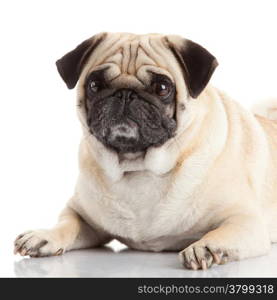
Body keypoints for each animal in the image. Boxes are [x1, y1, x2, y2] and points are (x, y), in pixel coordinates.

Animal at [13, 32, 276, 270]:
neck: (139, 168)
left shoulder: (245, 220)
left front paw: (205, 246)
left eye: (162, 87)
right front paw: (44, 235)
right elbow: (67, 223)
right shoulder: (84, 216)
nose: (125, 93)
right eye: (95, 85)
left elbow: (221, 232)